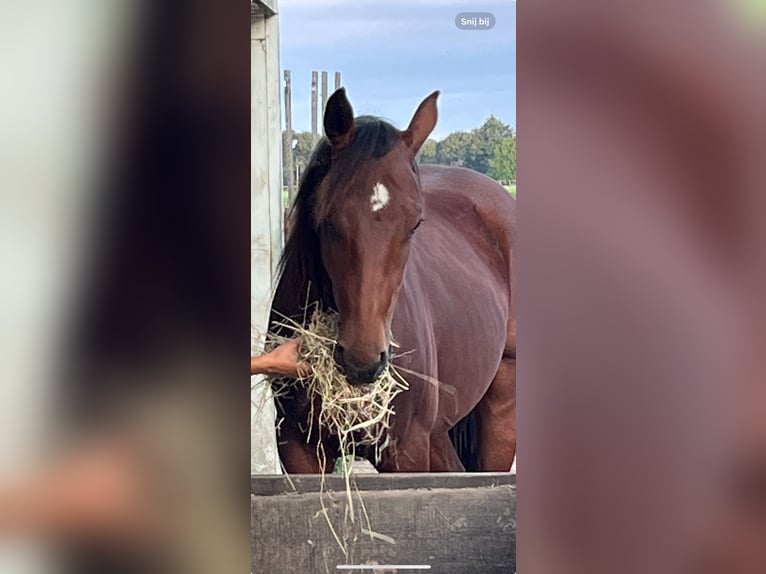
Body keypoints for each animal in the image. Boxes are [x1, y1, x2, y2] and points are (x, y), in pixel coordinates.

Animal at [270, 90, 516, 474]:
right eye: (329, 220)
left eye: (414, 224)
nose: (363, 360)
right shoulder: (297, 447)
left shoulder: (407, 452)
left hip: (502, 410)